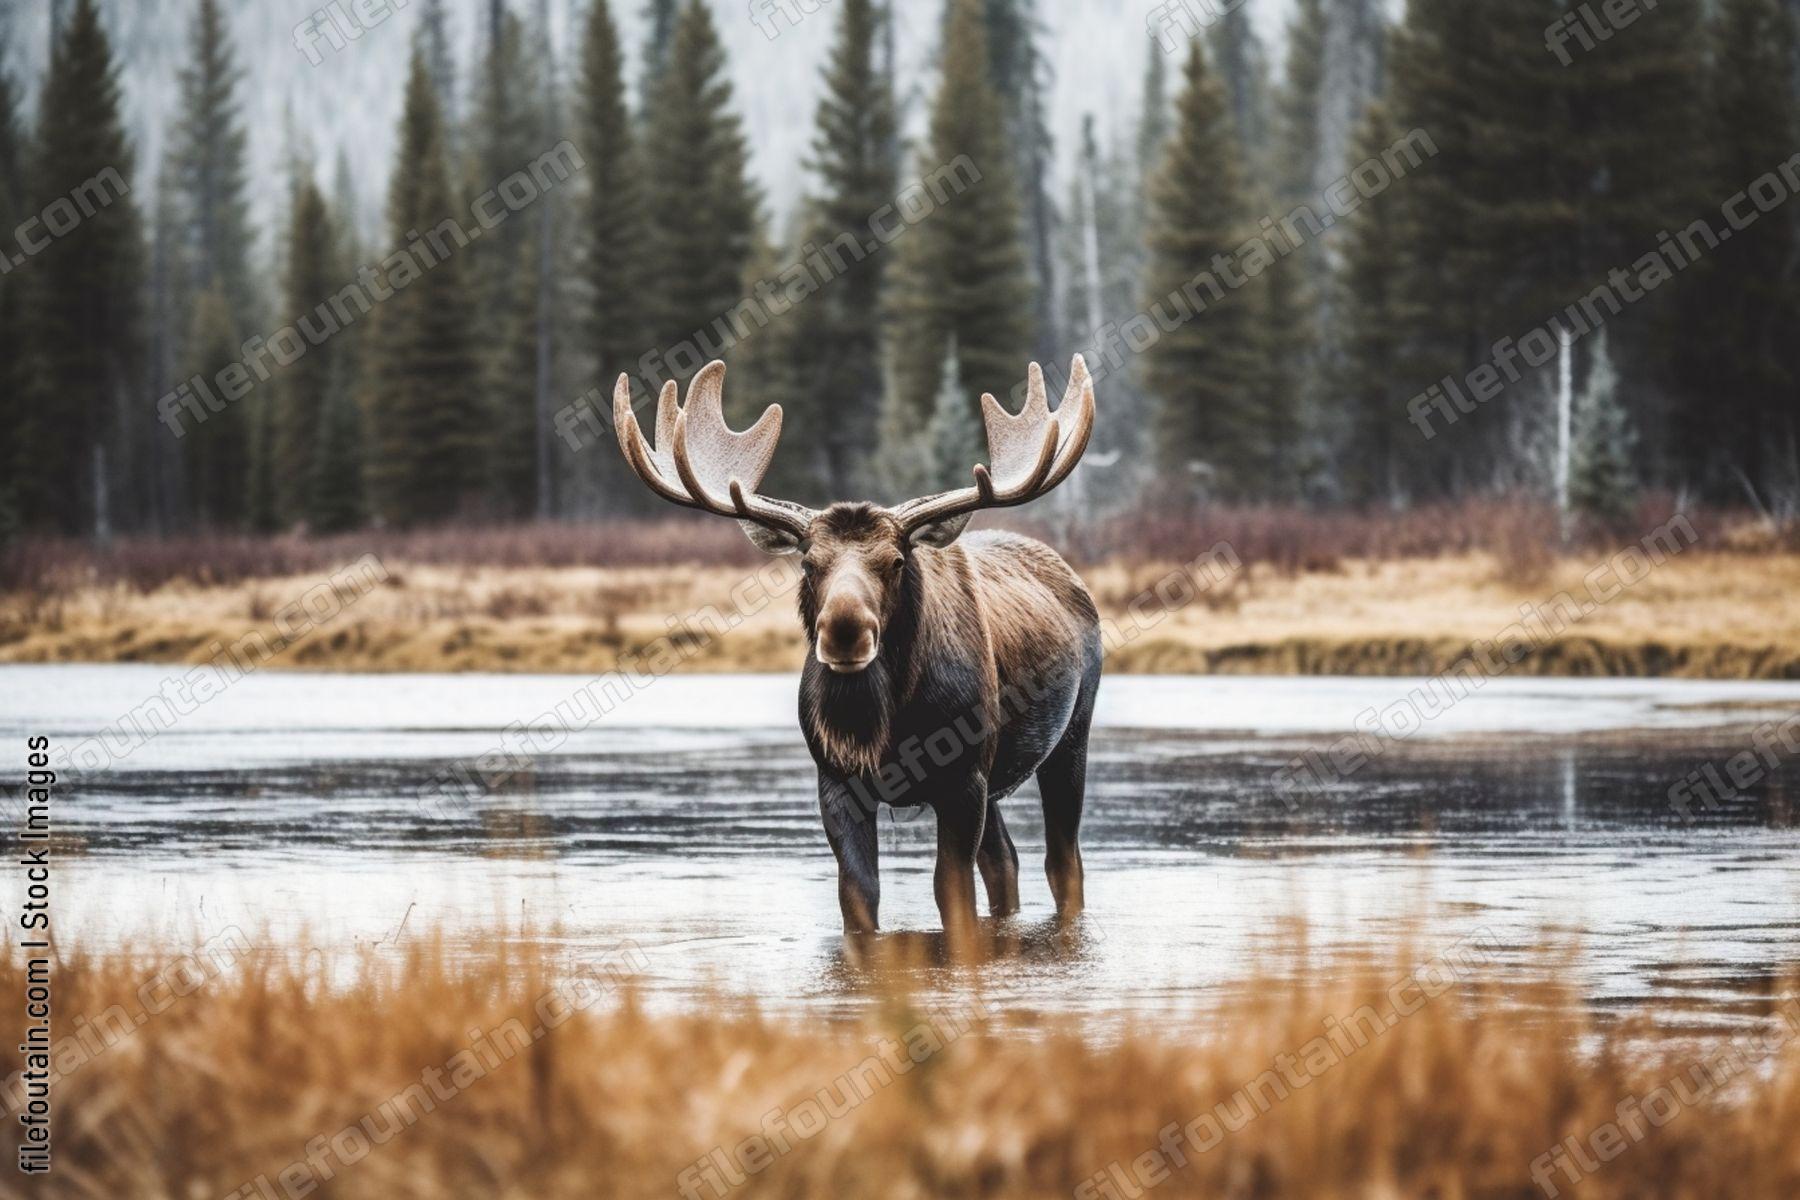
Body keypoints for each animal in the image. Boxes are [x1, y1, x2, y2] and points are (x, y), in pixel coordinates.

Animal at [613, 355, 1101, 941]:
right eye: (807, 562)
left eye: (896, 560)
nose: (845, 629)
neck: (882, 729)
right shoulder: (837, 782)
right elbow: (858, 898)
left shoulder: (963, 778)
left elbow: (951, 893)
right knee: (1004, 859)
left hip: (1071, 735)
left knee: (1063, 859)